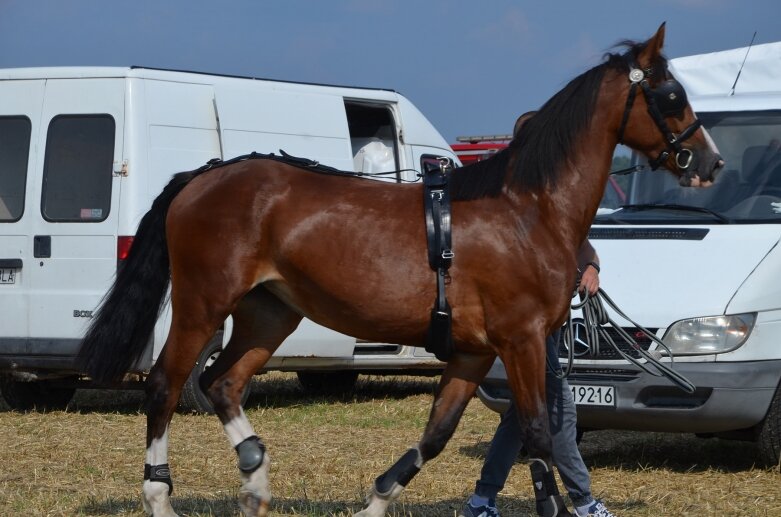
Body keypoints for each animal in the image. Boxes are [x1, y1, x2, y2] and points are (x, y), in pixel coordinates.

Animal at [77, 24, 720, 516]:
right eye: (669, 95)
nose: (708, 162)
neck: (526, 210)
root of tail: (204, 175)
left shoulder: (475, 352)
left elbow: (437, 434)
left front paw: (377, 500)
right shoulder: (522, 341)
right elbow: (538, 435)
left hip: (270, 313)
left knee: (222, 383)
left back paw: (255, 480)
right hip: (202, 305)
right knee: (166, 384)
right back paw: (160, 497)